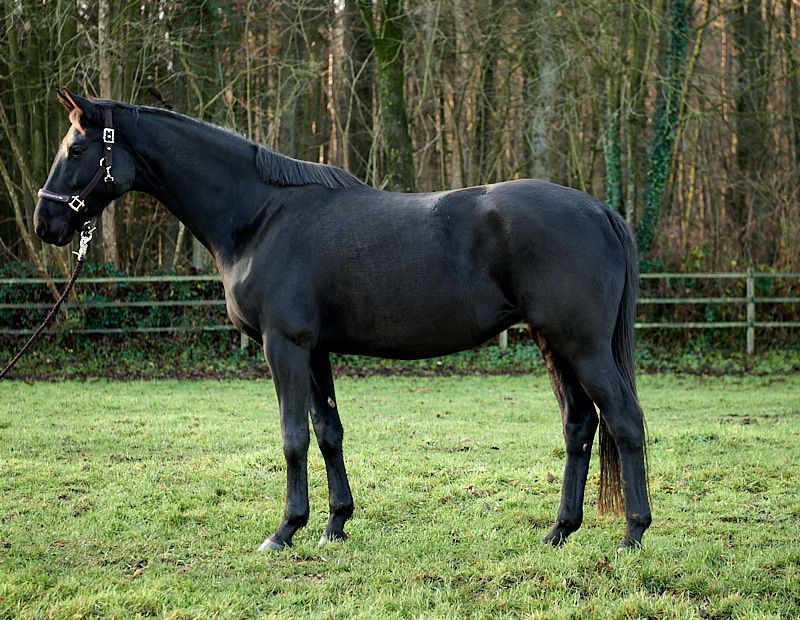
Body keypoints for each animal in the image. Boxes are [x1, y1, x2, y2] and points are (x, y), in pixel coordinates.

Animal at [34, 90, 651, 551]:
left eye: (77, 147)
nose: (45, 223)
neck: (259, 217)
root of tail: (599, 210)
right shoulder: (314, 349)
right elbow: (328, 431)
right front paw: (334, 524)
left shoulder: (283, 345)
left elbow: (292, 436)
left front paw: (285, 530)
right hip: (553, 342)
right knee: (579, 424)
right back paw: (559, 531)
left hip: (582, 345)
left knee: (623, 421)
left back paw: (632, 533)